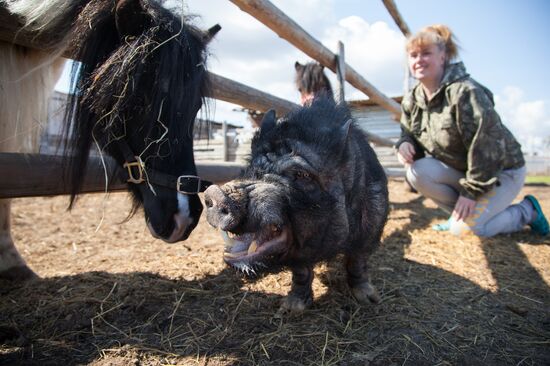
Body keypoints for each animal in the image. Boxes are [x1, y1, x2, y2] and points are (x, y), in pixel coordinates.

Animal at [205, 99, 390, 312]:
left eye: (302, 174)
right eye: (252, 167)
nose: (215, 193)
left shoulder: (371, 230)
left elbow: (357, 262)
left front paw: (370, 300)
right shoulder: (299, 253)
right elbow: (301, 273)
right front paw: (290, 308)